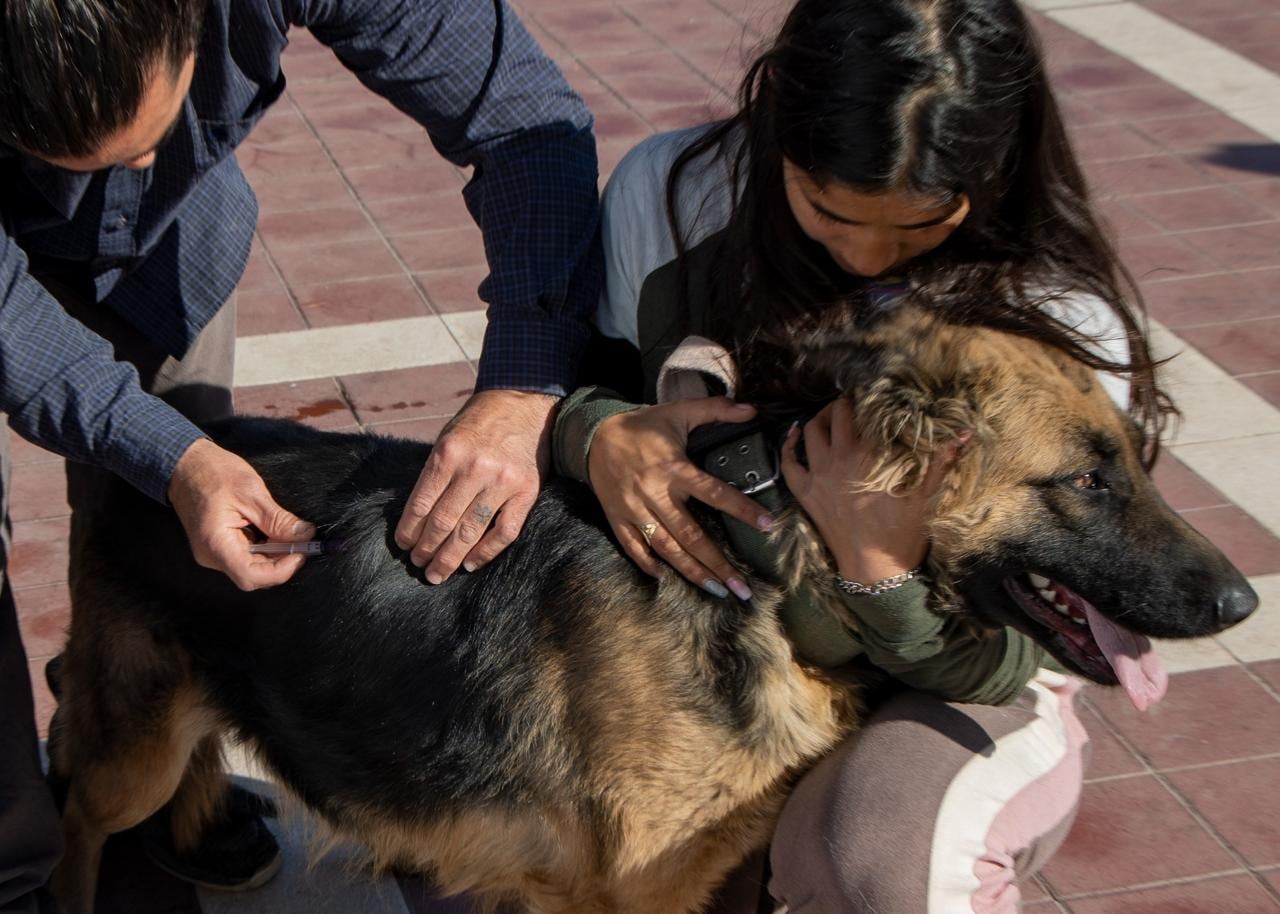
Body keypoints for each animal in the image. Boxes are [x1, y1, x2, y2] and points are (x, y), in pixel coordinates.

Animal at [52, 305, 1259, 911]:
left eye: (1136, 461)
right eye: (1087, 478)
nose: (1245, 595)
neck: (778, 579)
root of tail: (160, 450)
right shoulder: (620, 894)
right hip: (136, 751)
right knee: (76, 796)